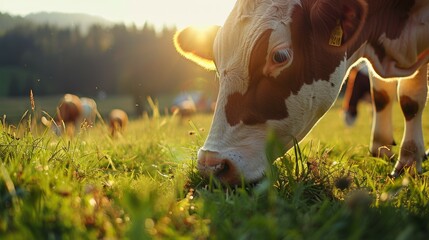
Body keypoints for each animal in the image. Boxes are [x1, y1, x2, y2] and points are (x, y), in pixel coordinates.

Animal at [174, 0, 428, 186]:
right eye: (217, 62)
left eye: (279, 57)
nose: (211, 165)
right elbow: (382, 94)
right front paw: (382, 148)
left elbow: (410, 98)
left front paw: (409, 162)